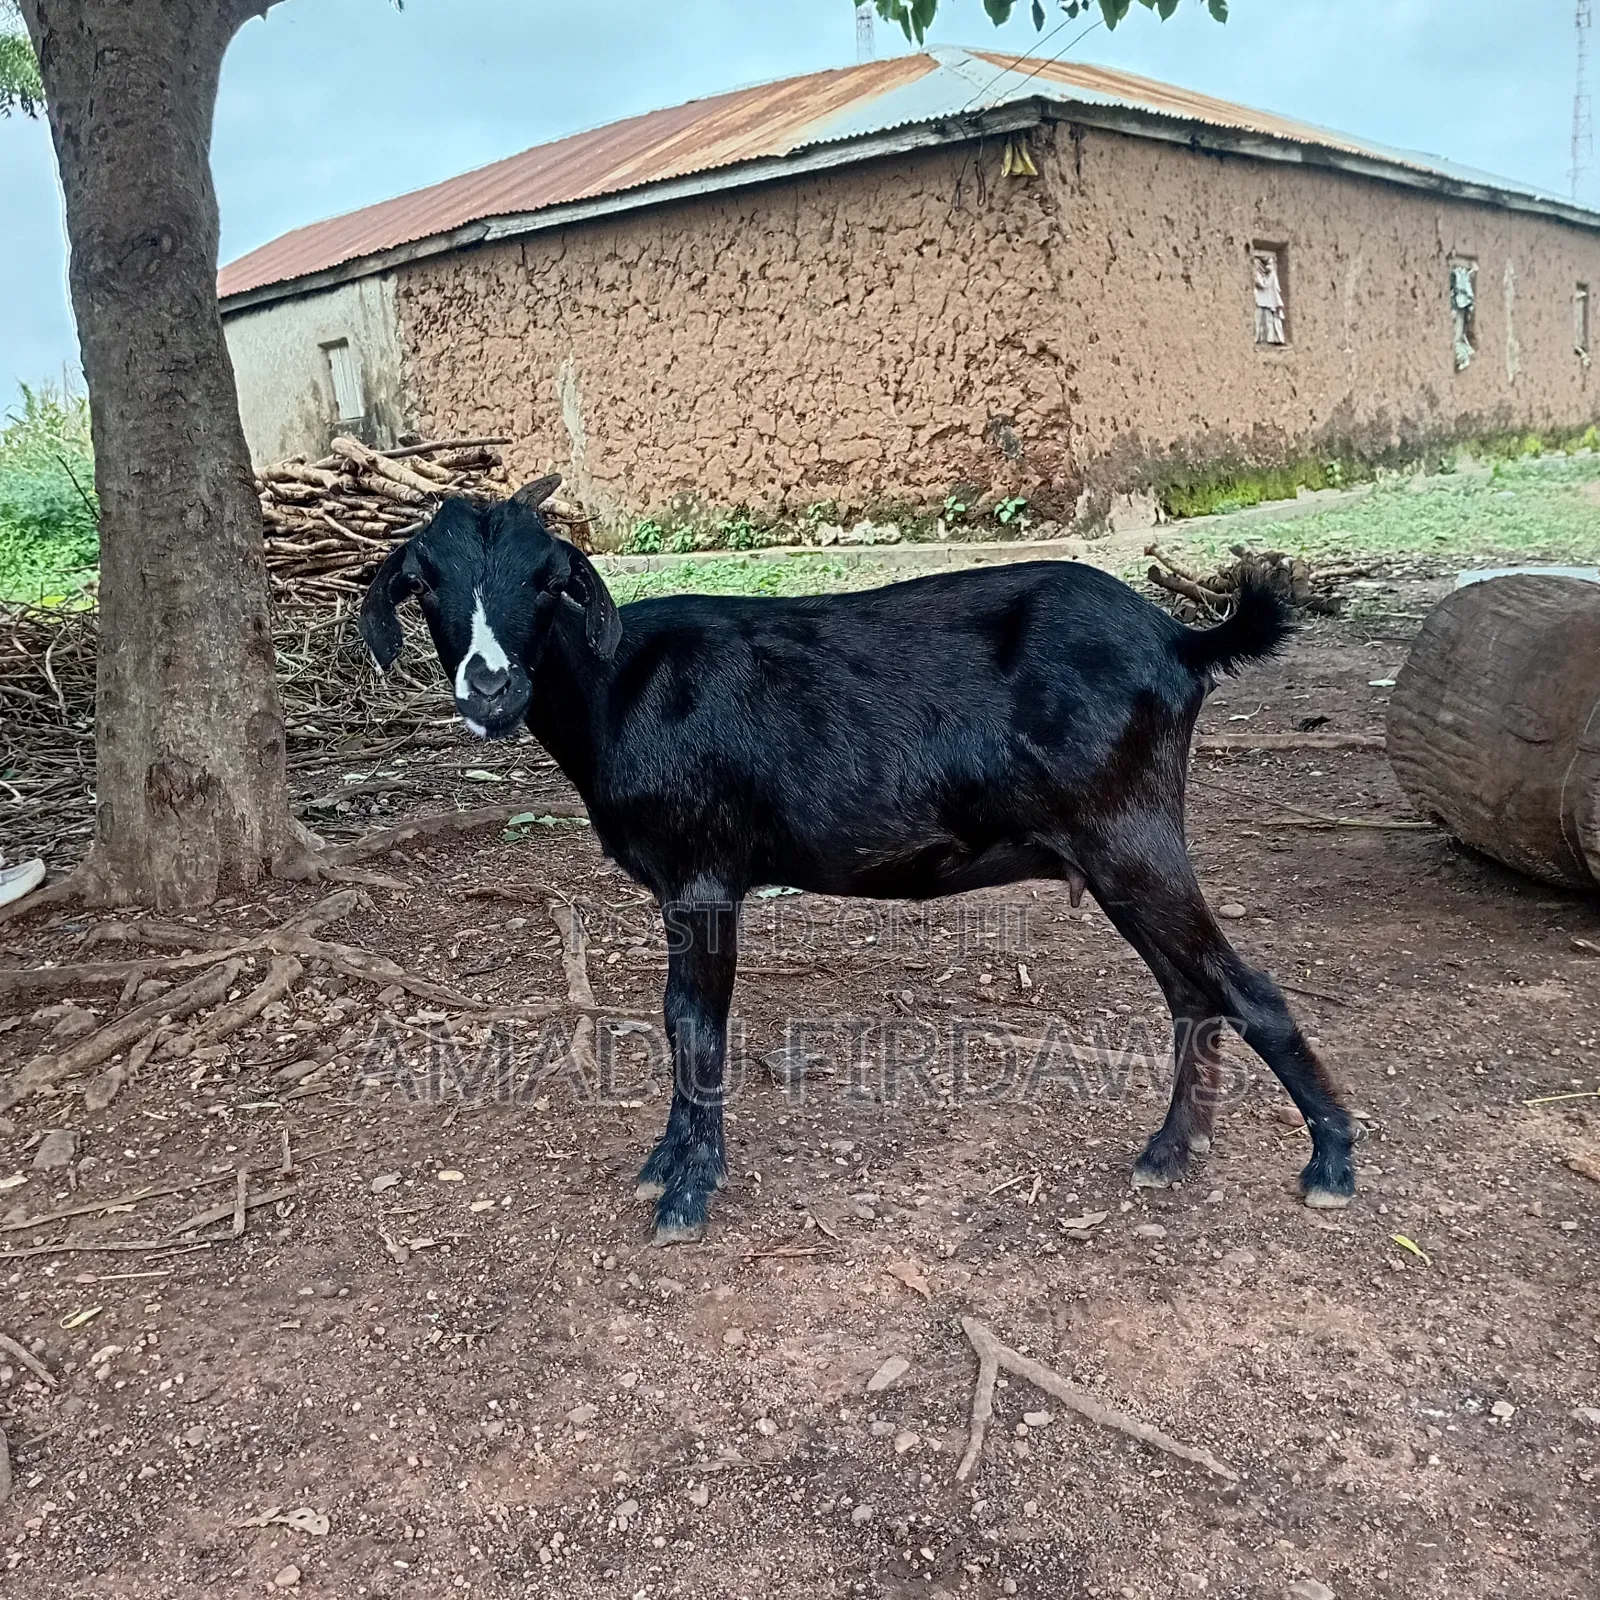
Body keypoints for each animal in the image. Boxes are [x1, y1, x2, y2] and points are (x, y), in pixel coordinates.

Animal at [360, 477, 1357, 1243]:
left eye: (546, 580)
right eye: (425, 582)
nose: (488, 685)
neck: (618, 687)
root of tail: (1182, 640)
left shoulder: (705, 874)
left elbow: (696, 1024)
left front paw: (689, 1191)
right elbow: (678, 1021)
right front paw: (664, 1161)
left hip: (1129, 834)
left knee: (1241, 984)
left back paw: (1332, 1160)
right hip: (1120, 848)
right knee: (1192, 989)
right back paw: (1171, 1152)